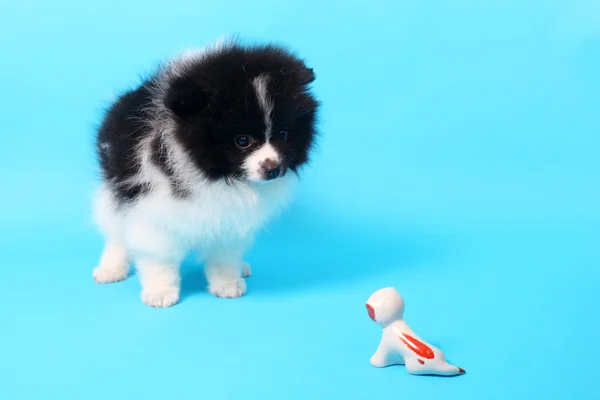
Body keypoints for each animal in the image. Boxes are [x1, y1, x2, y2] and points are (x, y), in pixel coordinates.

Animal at [91, 39, 318, 308]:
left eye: (283, 135)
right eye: (243, 141)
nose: (273, 169)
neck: (217, 175)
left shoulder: (229, 217)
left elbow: (224, 253)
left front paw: (227, 283)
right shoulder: (152, 207)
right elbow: (159, 256)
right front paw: (160, 291)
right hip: (116, 190)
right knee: (116, 231)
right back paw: (111, 268)